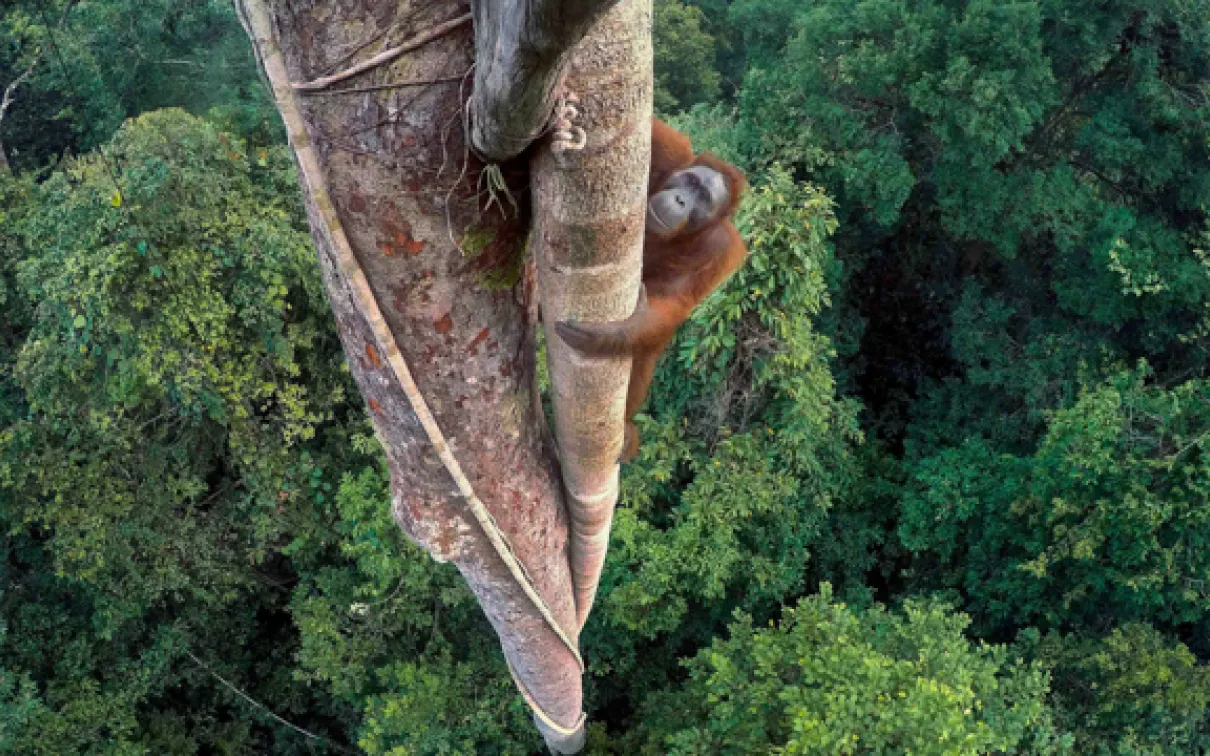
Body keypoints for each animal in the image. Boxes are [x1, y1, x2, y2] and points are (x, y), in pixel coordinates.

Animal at [556, 118, 749, 462]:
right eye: (689, 181)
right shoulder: (670, 154)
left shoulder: (721, 249)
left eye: (703, 198)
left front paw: (617, 331)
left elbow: (672, 303)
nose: (682, 200)